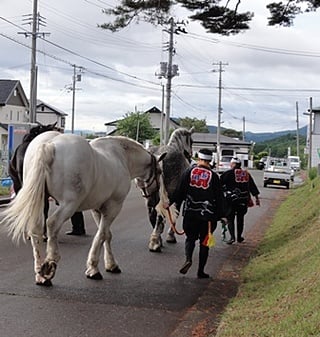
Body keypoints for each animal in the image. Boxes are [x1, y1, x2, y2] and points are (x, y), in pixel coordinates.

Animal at [2, 133, 166, 284]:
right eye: (159, 172)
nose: (156, 200)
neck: (122, 157)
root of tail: (49, 145)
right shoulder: (113, 206)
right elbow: (102, 235)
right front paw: (93, 269)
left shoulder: (97, 209)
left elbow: (107, 235)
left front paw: (111, 265)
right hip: (69, 204)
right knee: (52, 223)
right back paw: (50, 263)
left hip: (41, 200)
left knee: (36, 229)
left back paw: (40, 273)